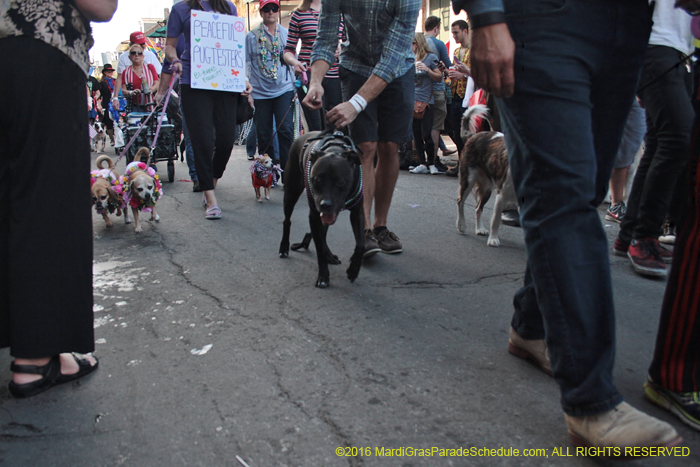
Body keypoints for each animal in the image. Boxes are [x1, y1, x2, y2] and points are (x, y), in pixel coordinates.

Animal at [456, 104, 516, 247]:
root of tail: (473, 136)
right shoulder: (501, 195)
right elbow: (495, 220)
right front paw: (493, 239)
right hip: (468, 179)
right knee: (460, 202)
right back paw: (461, 225)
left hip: (486, 189)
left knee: (478, 208)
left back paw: (480, 229)